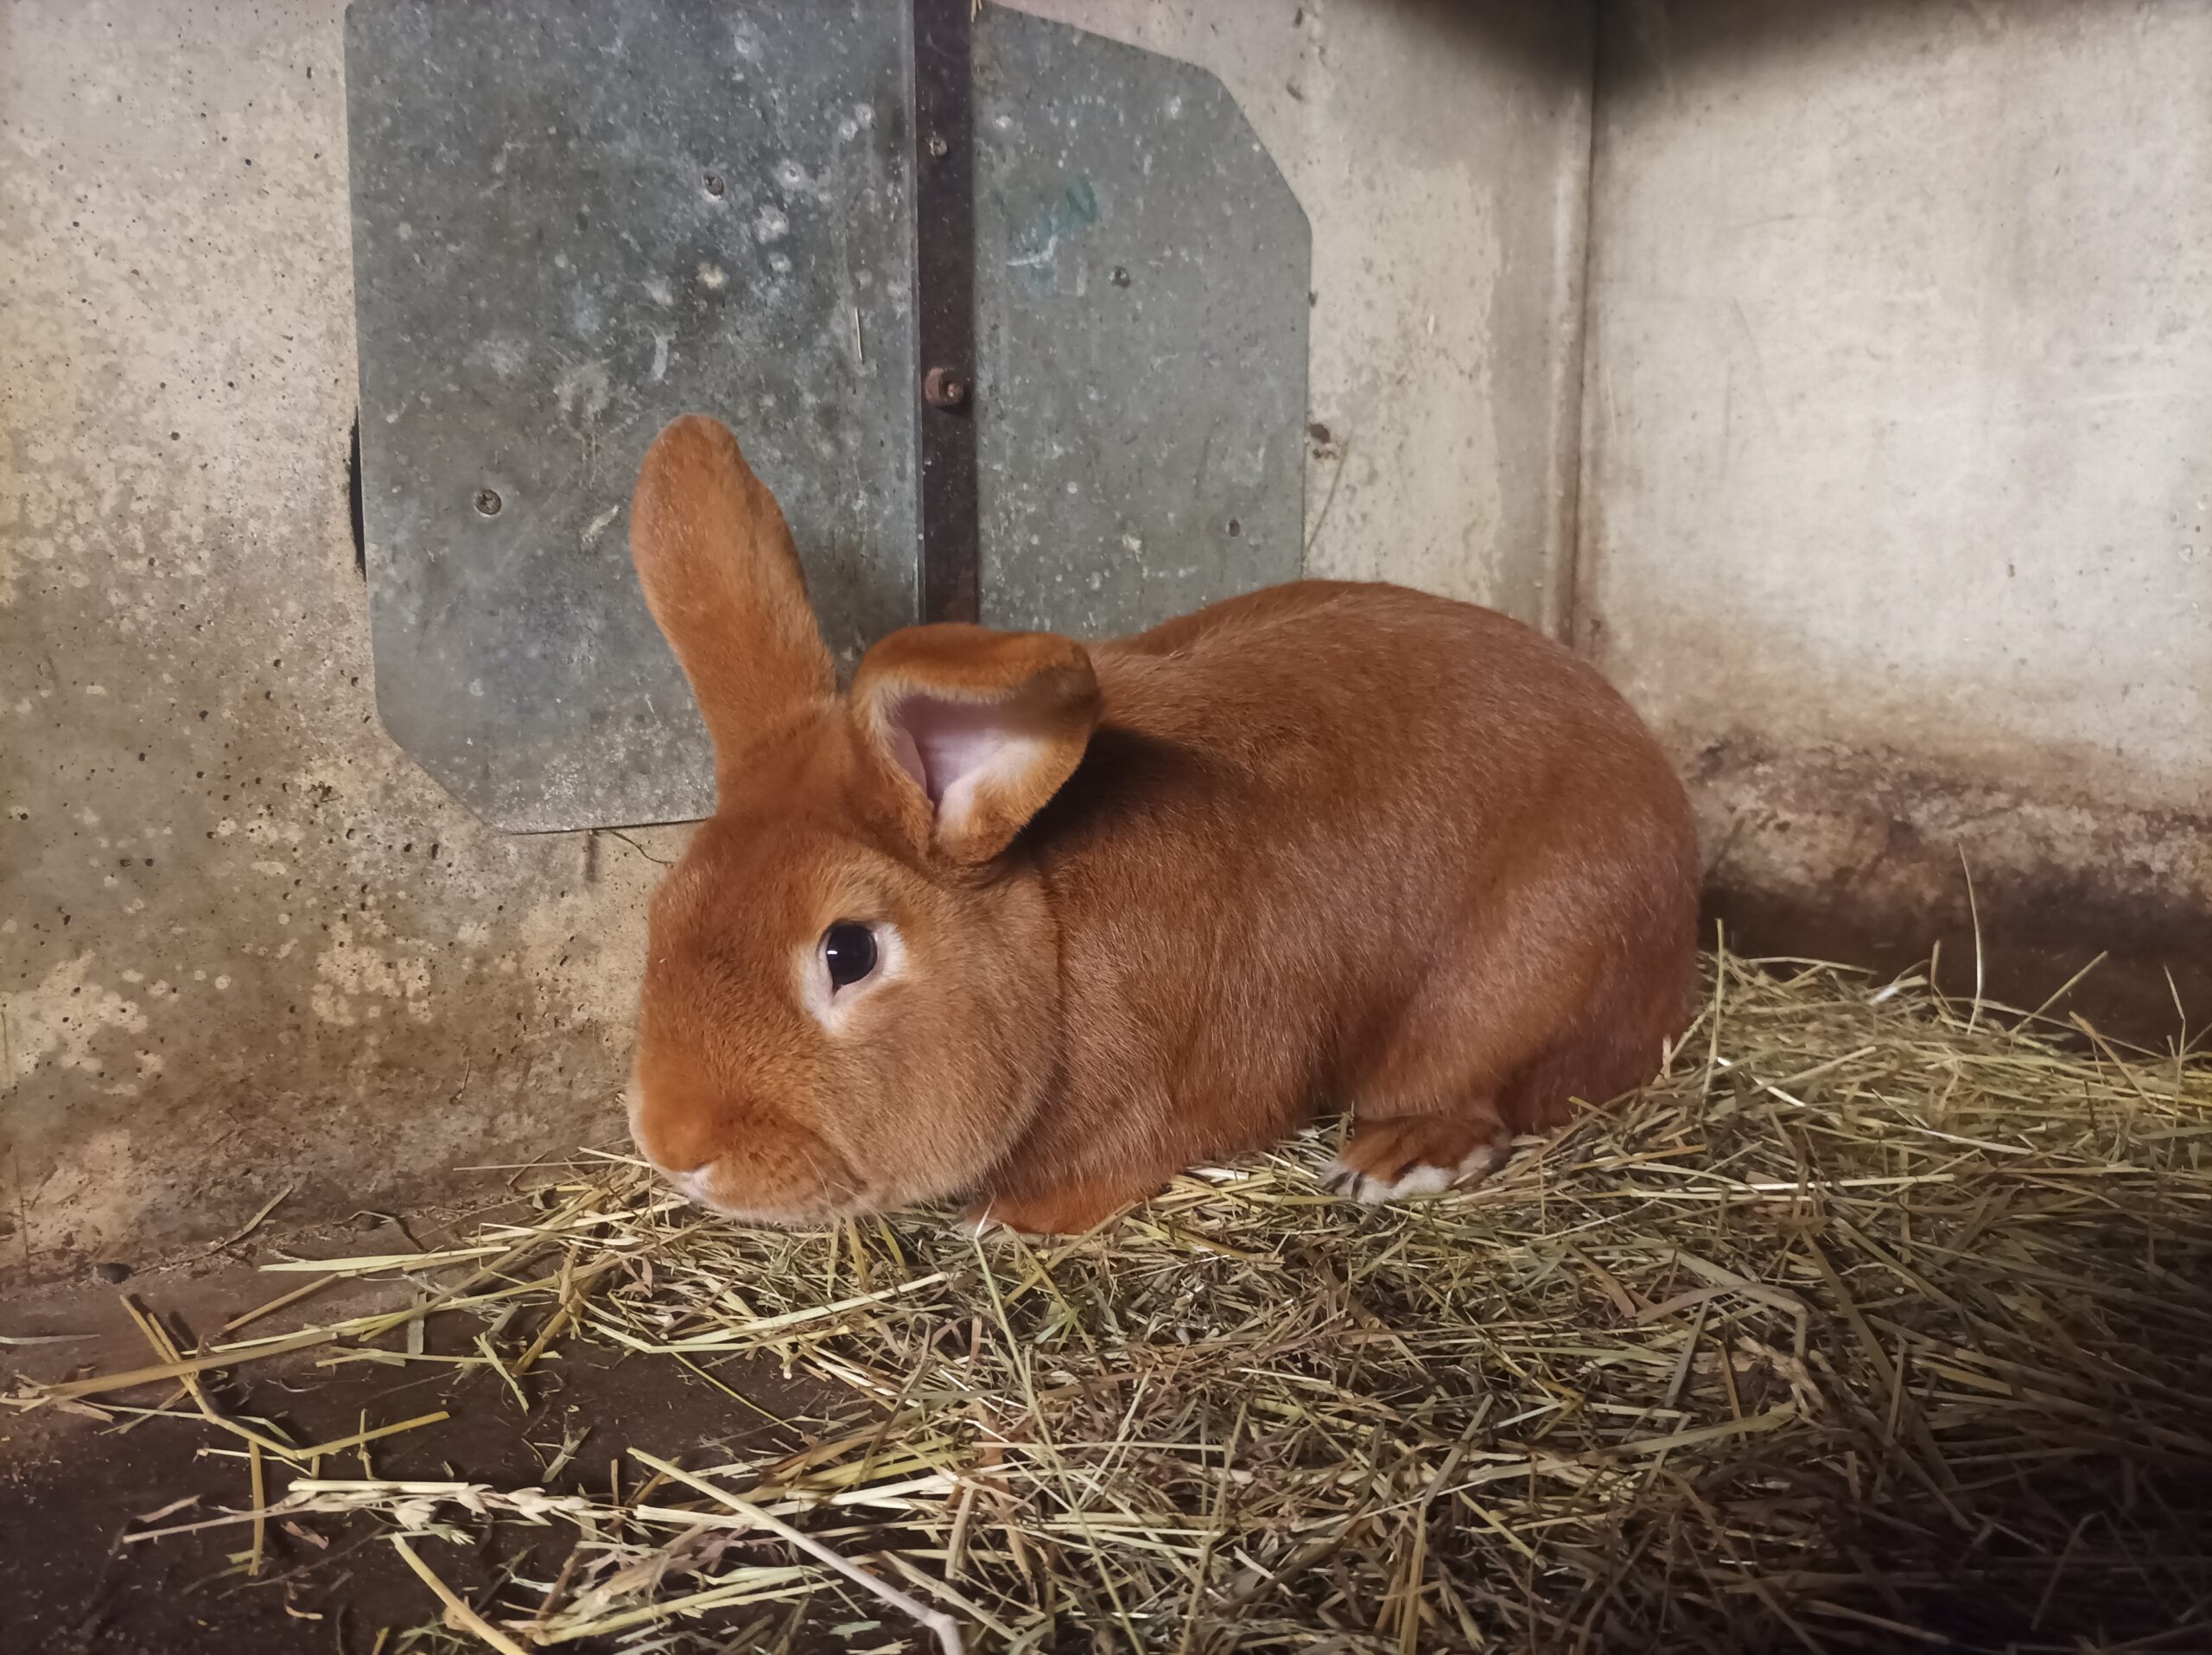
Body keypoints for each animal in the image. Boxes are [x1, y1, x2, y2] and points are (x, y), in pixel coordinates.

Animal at [625, 414, 1700, 1235]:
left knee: (1491, 1096)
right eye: (663, 910)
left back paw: (1393, 1158)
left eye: (847, 952)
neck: (1050, 941)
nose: (673, 1144)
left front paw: (1008, 1218)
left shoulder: (1196, 1083)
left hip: (1517, 989)